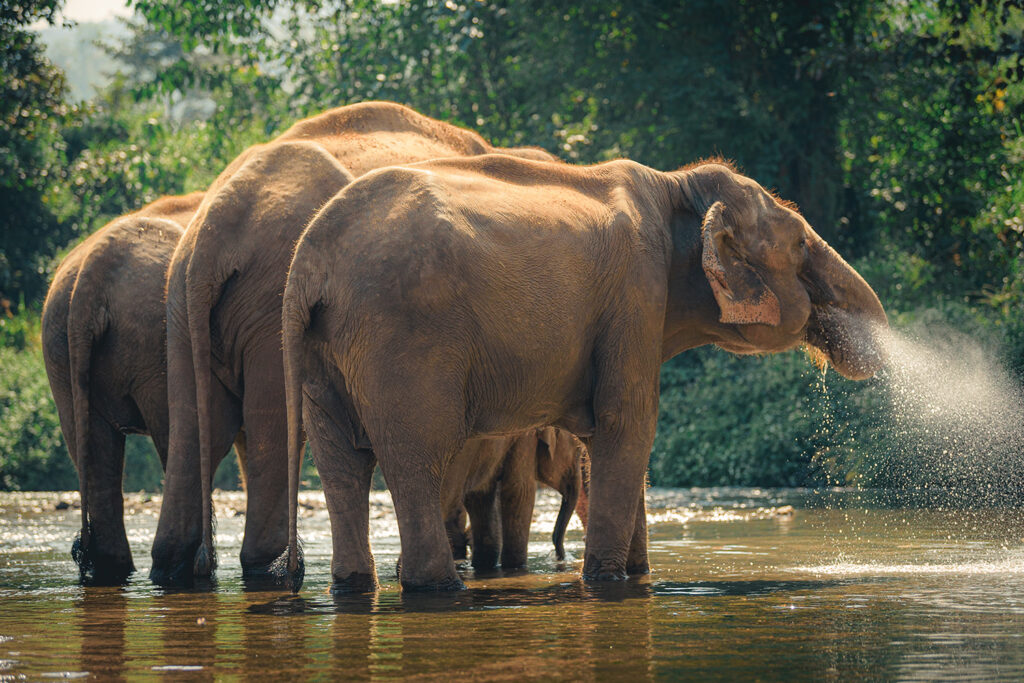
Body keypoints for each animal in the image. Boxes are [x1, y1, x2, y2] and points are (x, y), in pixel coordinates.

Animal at [149, 101, 561, 589]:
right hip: (268, 301)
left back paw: (176, 568)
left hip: (180, 304)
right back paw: (271, 566)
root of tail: (213, 231)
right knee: (269, 419)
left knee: (196, 422)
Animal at [282, 156, 888, 593]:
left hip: (325, 354)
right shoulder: (636, 296)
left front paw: (637, 575)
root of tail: (307, 261)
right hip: (401, 340)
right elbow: (629, 426)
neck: (677, 186)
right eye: (801, 244)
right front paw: (608, 581)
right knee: (416, 457)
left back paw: (353, 586)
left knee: (341, 464)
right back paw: (436, 588)